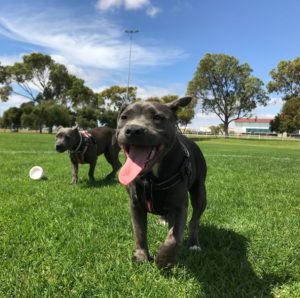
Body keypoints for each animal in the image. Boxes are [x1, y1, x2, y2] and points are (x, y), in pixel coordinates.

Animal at [116, 96, 206, 268]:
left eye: (157, 117)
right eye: (124, 117)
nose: (133, 130)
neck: (151, 177)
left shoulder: (179, 207)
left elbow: (174, 238)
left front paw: (164, 259)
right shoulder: (135, 205)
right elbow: (139, 232)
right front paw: (142, 256)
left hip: (200, 193)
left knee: (194, 221)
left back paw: (194, 243)